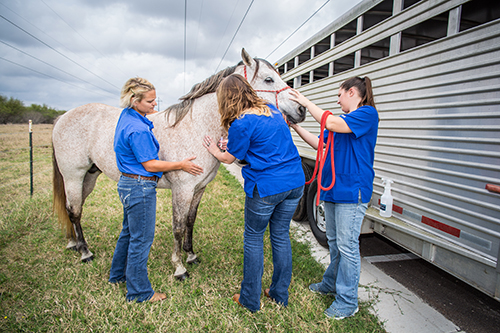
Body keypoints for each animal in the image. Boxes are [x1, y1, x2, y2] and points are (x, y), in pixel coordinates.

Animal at [52, 48, 306, 278]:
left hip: (89, 177)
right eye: (268, 79)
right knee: (74, 210)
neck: (196, 127)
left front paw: (191, 254)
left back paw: (74, 243)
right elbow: (178, 225)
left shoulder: (198, 189)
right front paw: (179, 266)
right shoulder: (182, 190)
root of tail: (62, 117)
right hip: (74, 176)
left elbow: (191, 221)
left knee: (72, 208)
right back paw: (85, 252)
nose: (301, 109)